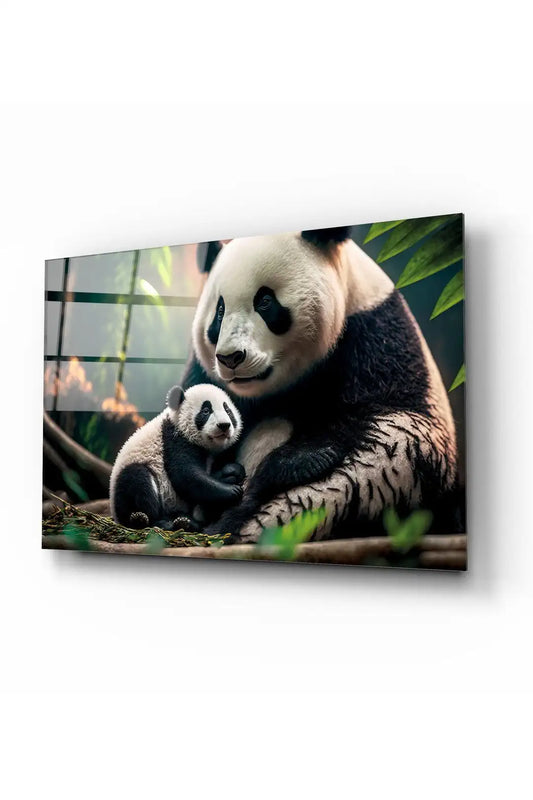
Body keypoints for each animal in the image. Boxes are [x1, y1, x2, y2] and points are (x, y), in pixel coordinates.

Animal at [110, 383, 244, 531]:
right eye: (206, 411)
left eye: (228, 411)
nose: (224, 425)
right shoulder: (174, 439)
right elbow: (186, 475)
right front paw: (231, 491)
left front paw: (232, 471)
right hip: (126, 494)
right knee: (138, 481)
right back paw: (165, 522)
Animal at [183, 226, 458, 543]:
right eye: (219, 310)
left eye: (265, 301)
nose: (231, 358)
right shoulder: (205, 376)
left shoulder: (379, 339)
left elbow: (391, 427)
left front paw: (295, 462)